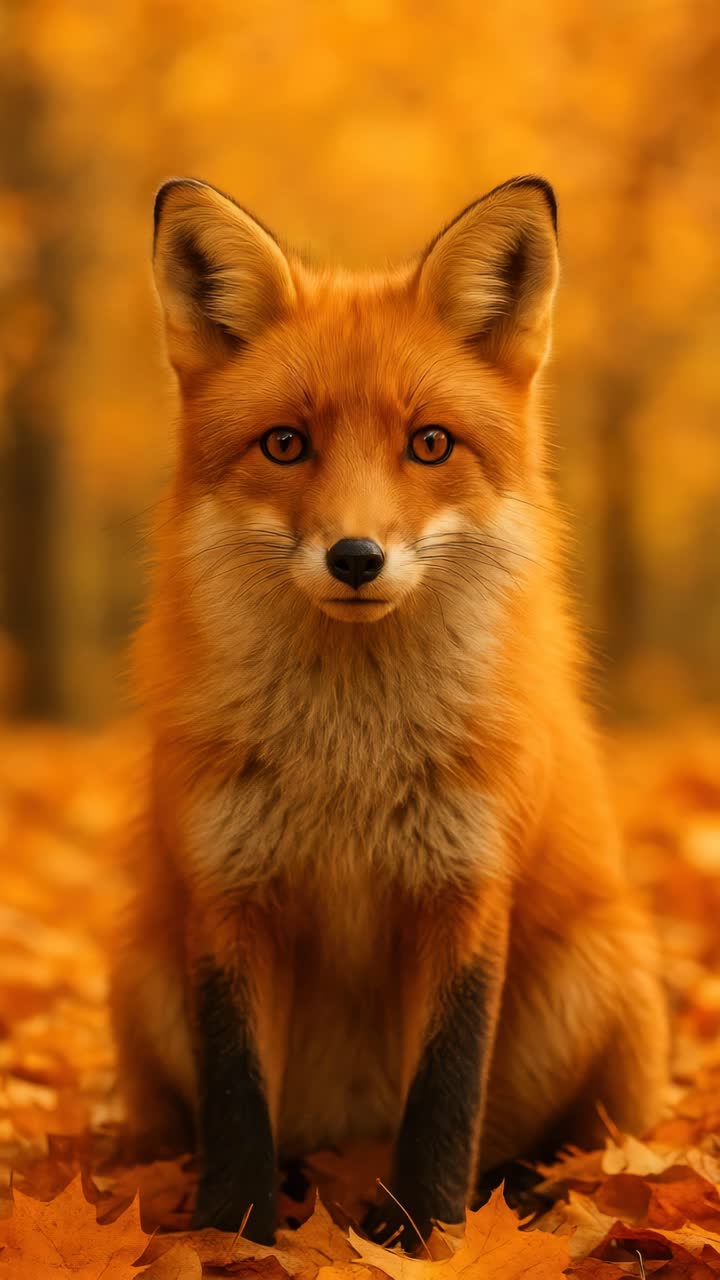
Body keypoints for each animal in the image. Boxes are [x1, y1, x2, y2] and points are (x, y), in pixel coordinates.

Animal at [110, 174, 668, 1250]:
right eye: (286, 444)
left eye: (430, 444)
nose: (357, 557)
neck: (351, 763)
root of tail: (344, 1137)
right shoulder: (228, 893)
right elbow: (235, 1096)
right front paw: (231, 1235)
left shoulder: (464, 887)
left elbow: (446, 1097)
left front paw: (428, 1240)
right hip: (143, 969)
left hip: (601, 978)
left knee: (564, 1147)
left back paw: (530, 1198)